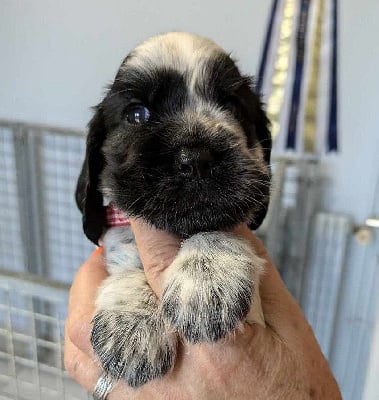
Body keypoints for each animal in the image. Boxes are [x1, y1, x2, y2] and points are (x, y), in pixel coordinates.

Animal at [75, 31, 270, 388]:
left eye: (233, 107)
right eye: (137, 114)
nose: (196, 158)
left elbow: (215, 222)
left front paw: (207, 276)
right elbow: (126, 254)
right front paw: (133, 324)